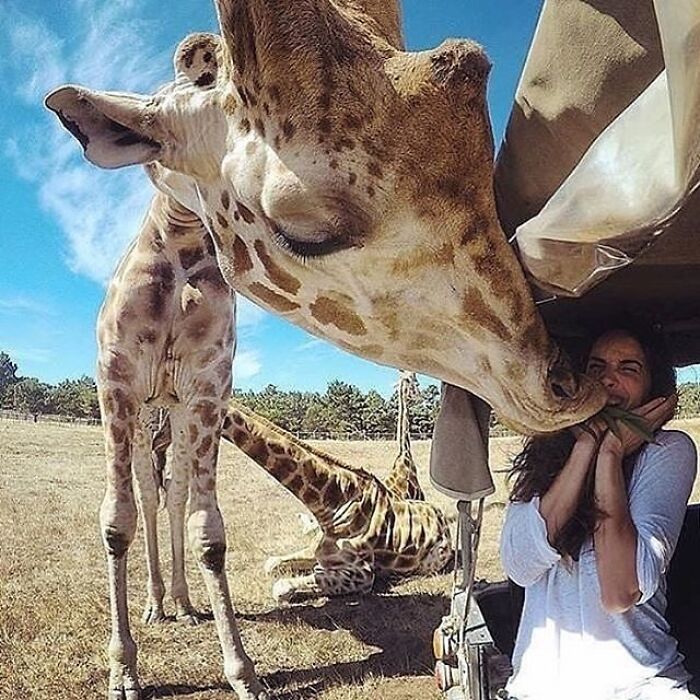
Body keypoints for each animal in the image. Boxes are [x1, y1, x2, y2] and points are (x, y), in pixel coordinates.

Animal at [95, 189, 267, 700]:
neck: (180, 239)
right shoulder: (116, 379)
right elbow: (118, 520)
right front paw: (123, 674)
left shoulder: (210, 387)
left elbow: (207, 530)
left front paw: (243, 673)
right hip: (146, 417)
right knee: (149, 496)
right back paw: (155, 605)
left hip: (176, 417)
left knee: (173, 494)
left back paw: (183, 604)